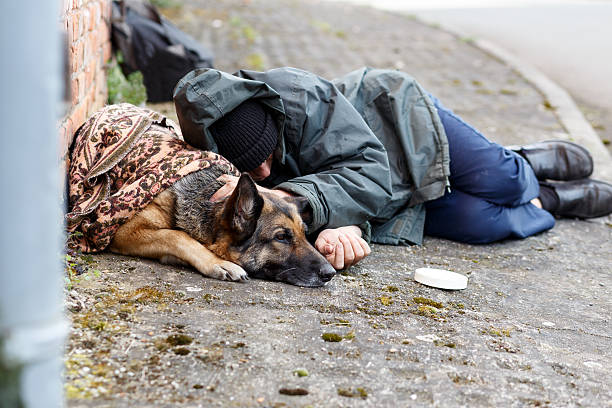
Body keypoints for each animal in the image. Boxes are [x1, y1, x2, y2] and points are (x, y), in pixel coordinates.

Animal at [111, 167, 340, 288]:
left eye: (305, 234)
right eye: (281, 237)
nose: (330, 273)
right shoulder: (124, 231)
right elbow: (176, 236)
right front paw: (218, 263)